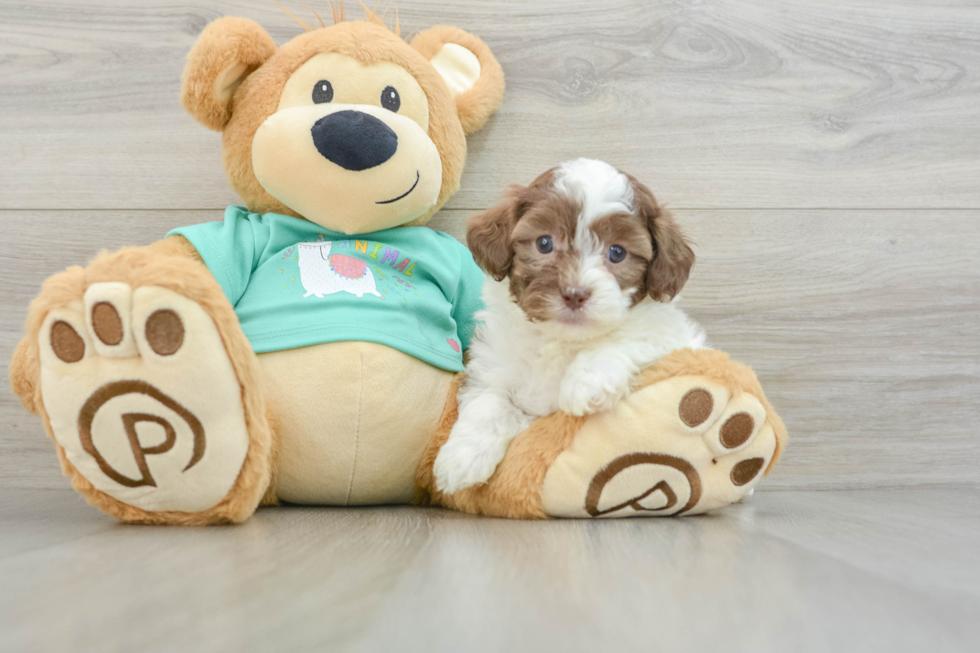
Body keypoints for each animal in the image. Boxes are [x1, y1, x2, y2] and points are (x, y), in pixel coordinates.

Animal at [434, 159, 704, 494]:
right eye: (544, 243)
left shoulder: (672, 335)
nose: (575, 293)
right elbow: (489, 401)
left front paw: (586, 385)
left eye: (617, 252)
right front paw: (460, 460)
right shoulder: (491, 364)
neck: (561, 340)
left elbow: (628, 337)